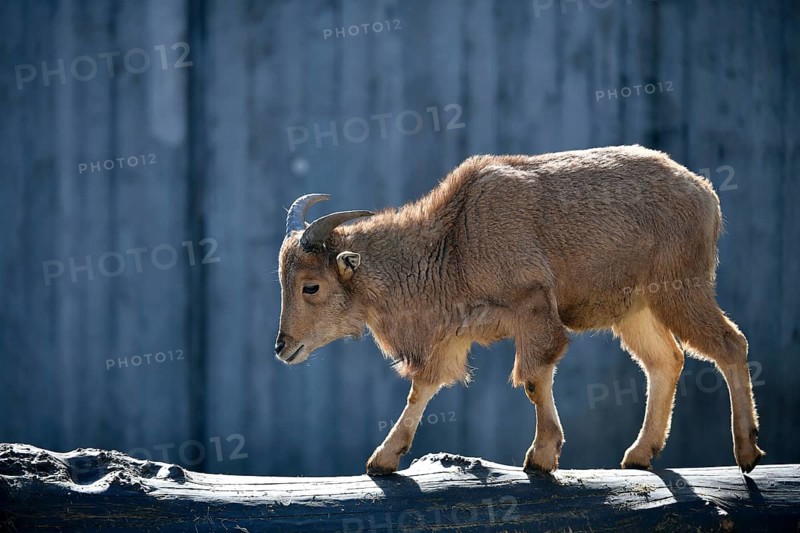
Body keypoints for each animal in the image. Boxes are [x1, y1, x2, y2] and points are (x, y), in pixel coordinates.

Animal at [275, 145, 764, 475]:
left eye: (310, 286)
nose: (283, 347)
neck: (454, 239)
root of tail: (705, 193)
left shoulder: (531, 309)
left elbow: (532, 376)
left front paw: (541, 457)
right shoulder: (450, 334)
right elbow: (423, 388)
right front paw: (383, 459)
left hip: (680, 292)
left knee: (729, 344)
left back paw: (747, 454)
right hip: (636, 312)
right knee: (667, 361)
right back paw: (638, 456)